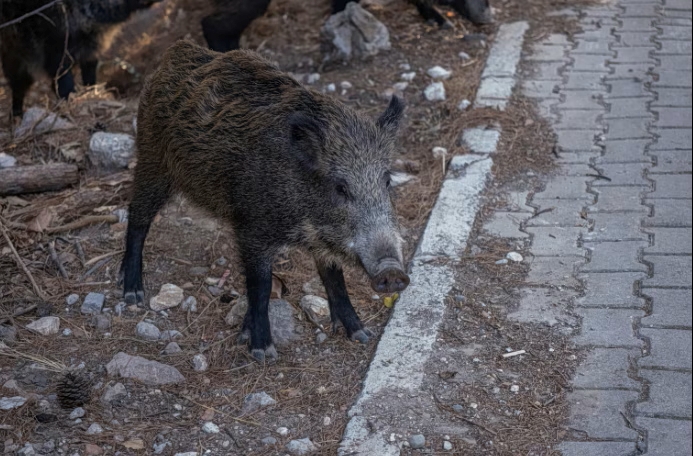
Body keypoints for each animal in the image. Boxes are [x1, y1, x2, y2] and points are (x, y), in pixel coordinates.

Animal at [0, 0, 161, 117]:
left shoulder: (91, 49)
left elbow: (89, 75)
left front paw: (91, 94)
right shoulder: (54, 48)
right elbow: (63, 83)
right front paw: (71, 102)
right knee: (19, 84)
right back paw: (16, 114)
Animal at [120, 40, 410, 361]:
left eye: (387, 180)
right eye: (340, 187)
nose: (393, 271)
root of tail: (177, 53)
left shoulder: (321, 239)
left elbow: (334, 278)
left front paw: (360, 334)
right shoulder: (252, 229)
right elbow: (261, 285)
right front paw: (263, 352)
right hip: (152, 160)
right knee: (137, 216)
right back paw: (132, 294)